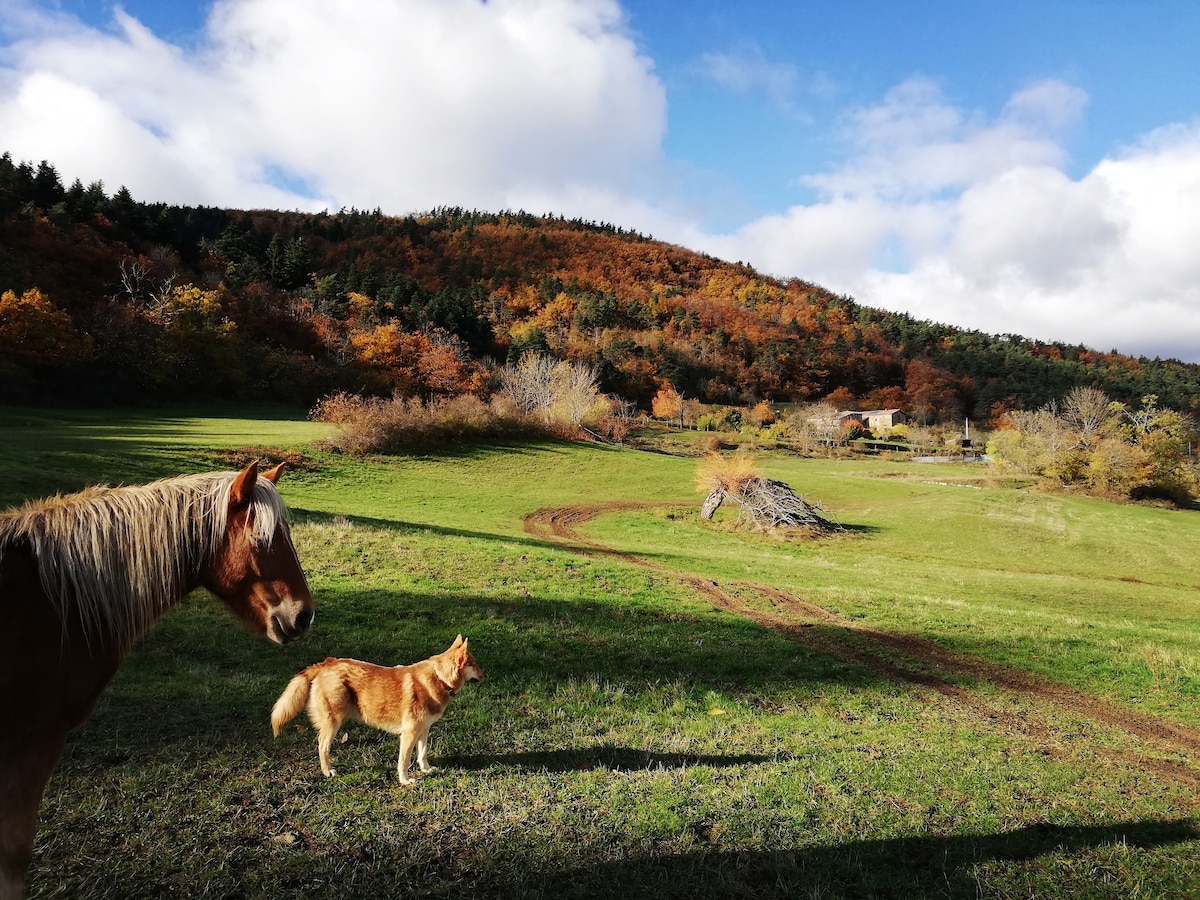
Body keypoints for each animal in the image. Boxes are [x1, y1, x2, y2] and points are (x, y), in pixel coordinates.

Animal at [272, 633, 482, 782]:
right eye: (474, 664)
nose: (485, 675)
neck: (439, 678)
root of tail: (325, 663)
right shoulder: (409, 733)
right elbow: (404, 760)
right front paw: (405, 780)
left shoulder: (424, 730)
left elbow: (422, 754)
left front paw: (426, 770)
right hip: (333, 722)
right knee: (322, 747)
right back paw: (327, 771)